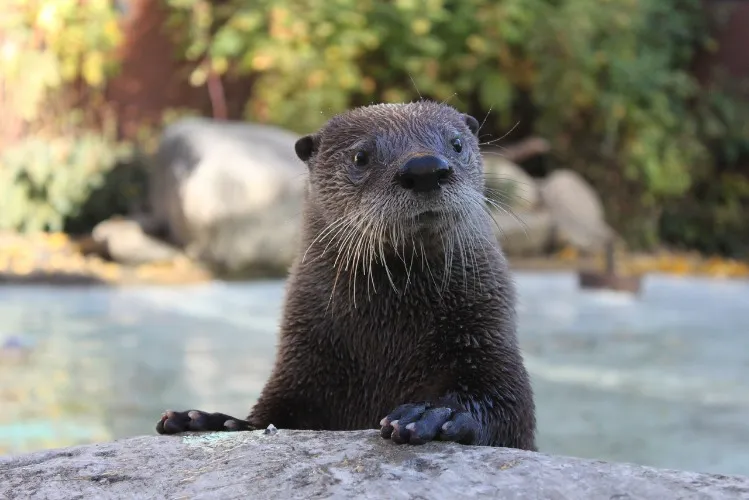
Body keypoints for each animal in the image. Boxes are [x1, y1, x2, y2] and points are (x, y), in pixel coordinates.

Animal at [156, 101, 537, 450]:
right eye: (361, 157)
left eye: (456, 144)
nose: (425, 167)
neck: (389, 339)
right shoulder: (302, 362)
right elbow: (269, 416)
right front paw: (207, 420)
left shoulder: (487, 339)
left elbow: (508, 406)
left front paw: (434, 413)